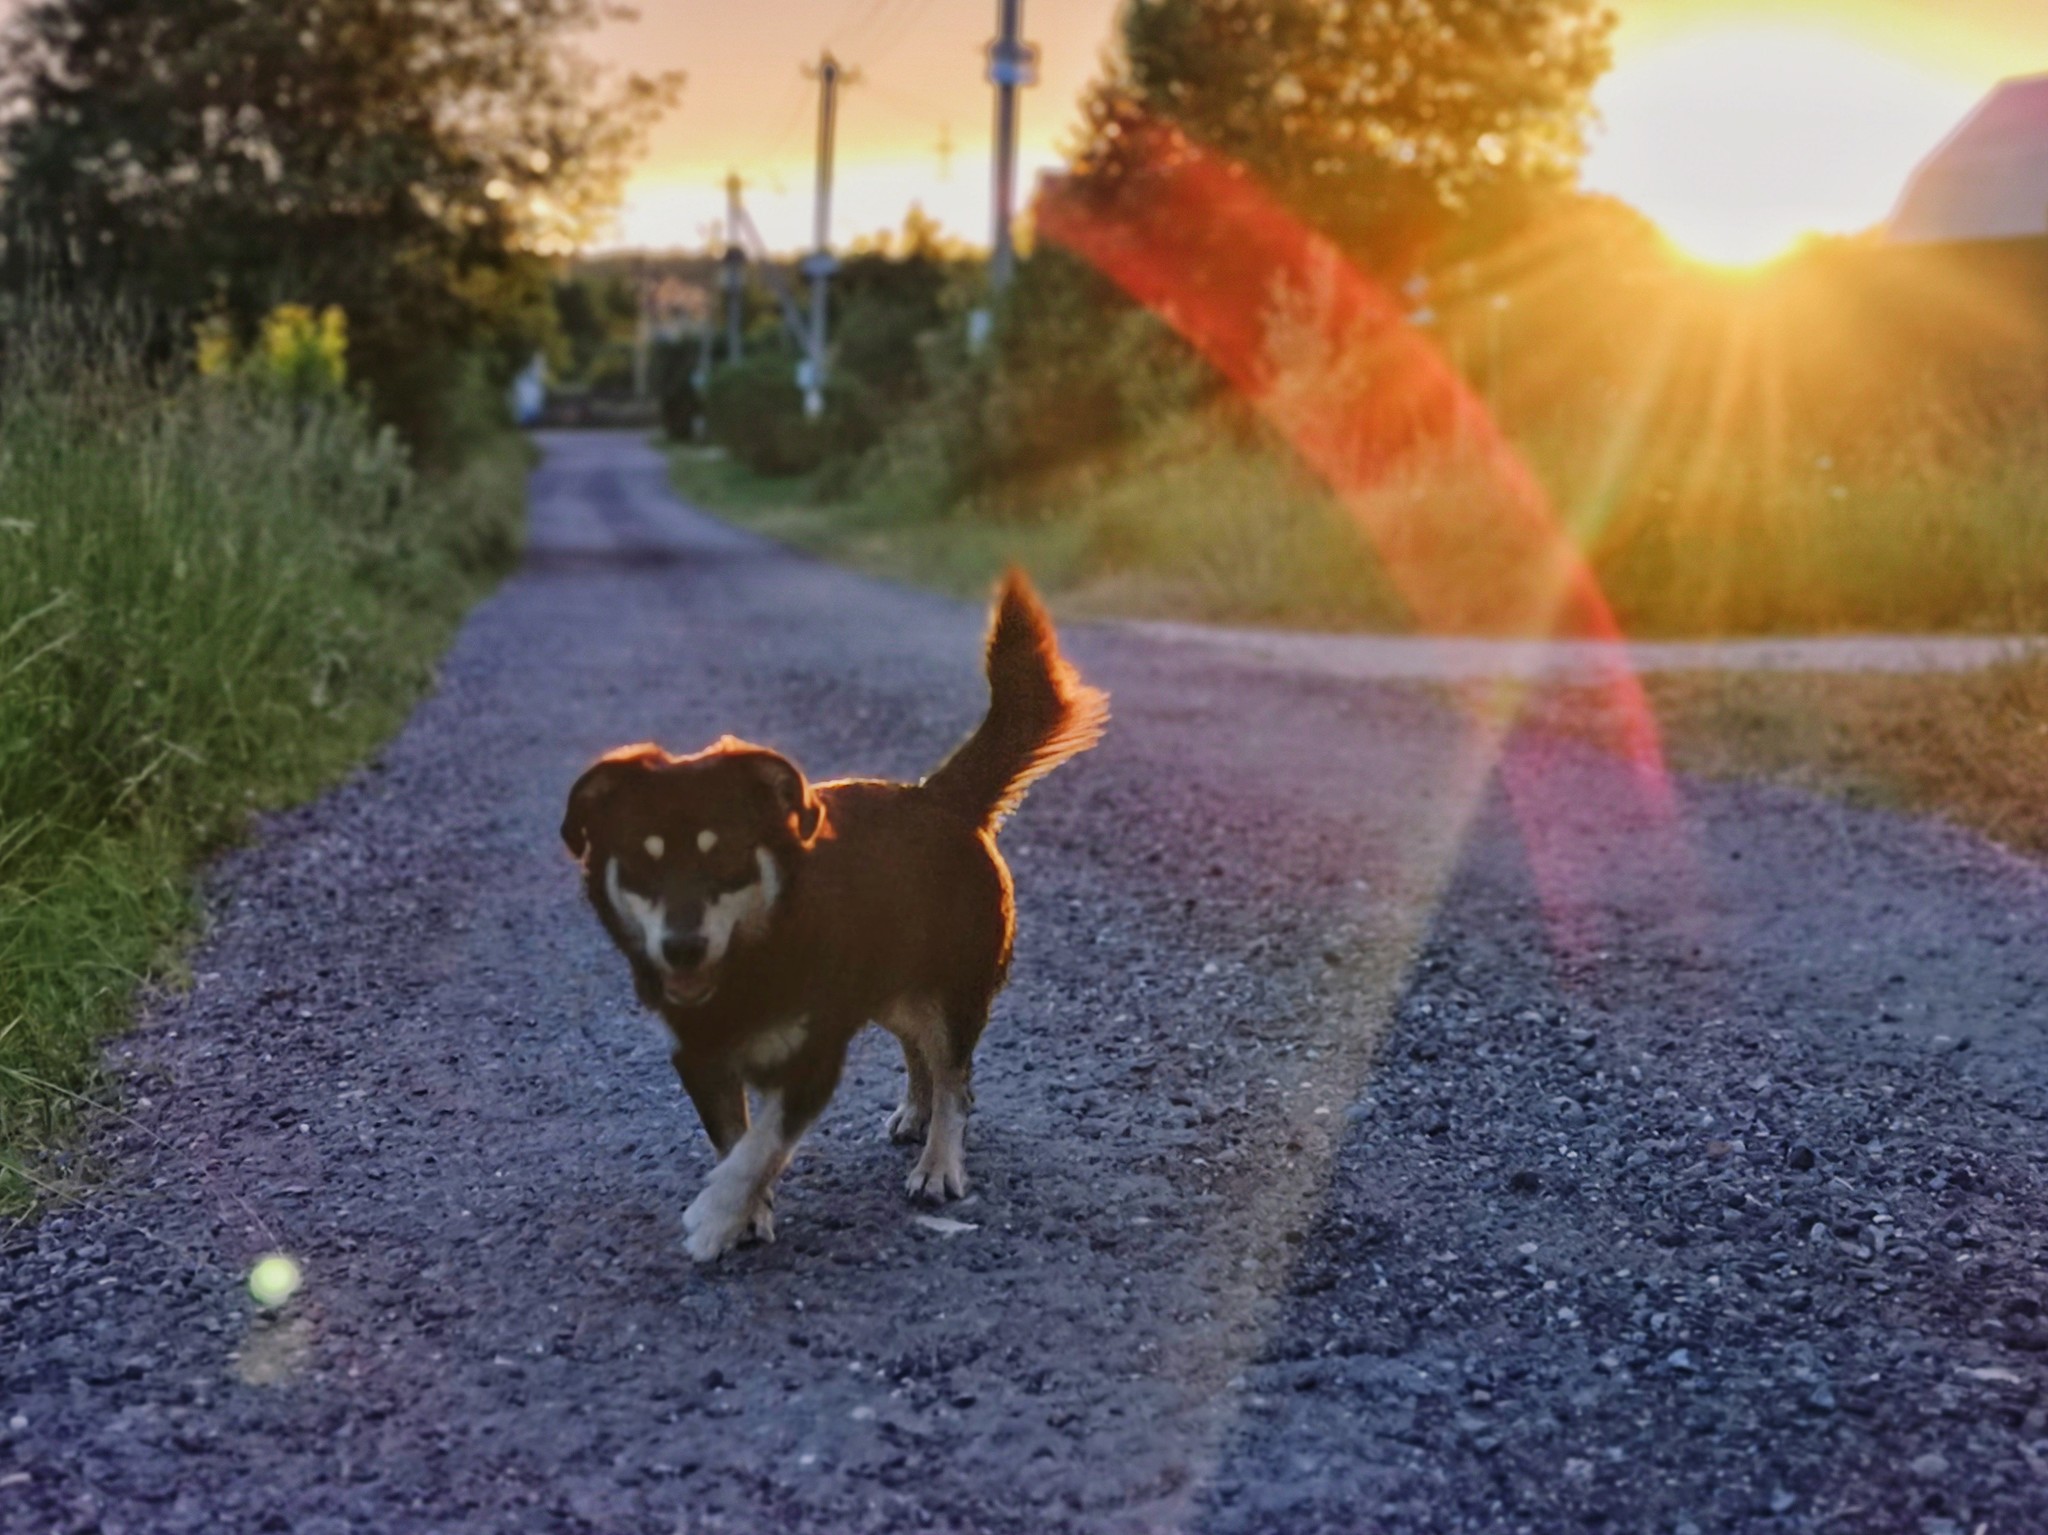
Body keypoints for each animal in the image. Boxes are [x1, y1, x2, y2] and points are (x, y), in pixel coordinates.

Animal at [557, 573, 1105, 1268]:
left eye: (725, 855)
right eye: (640, 861)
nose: (682, 947)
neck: (752, 960)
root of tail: (939, 796)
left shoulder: (813, 1057)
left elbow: (760, 1146)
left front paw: (717, 1215)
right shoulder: (700, 1060)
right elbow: (734, 1139)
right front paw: (747, 1214)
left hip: (951, 989)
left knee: (954, 1074)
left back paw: (939, 1163)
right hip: (893, 989)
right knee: (922, 1055)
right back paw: (916, 1113)